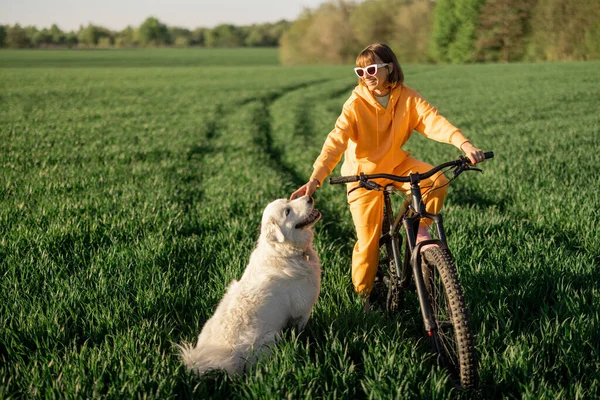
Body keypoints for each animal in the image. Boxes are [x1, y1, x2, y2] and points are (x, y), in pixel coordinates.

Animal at [178, 195, 322, 376]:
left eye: (288, 200)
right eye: (287, 212)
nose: (309, 197)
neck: (282, 252)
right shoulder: (302, 311)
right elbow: (300, 331)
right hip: (270, 338)